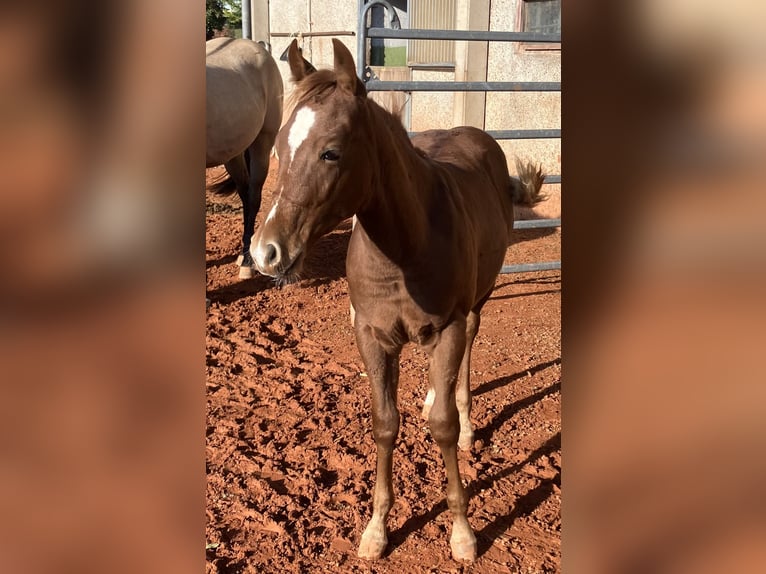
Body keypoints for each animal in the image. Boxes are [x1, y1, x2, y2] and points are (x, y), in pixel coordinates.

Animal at [250, 39, 544, 563]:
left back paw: (467, 425)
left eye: (331, 152)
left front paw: (462, 532)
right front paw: (376, 528)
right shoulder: (371, 335)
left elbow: (443, 424)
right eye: (280, 147)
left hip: (478, 301)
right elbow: (385, 423)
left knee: (469, 347)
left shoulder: (446, 327)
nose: (265, 252)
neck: (405, 245)